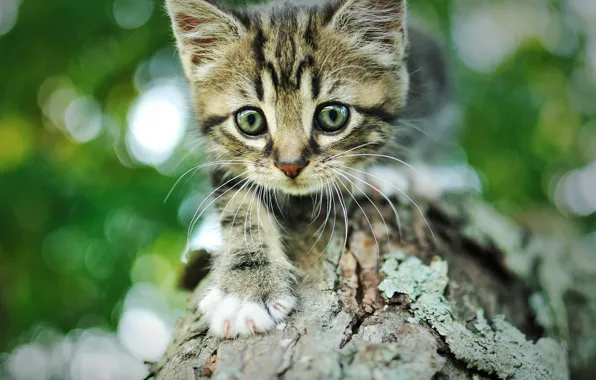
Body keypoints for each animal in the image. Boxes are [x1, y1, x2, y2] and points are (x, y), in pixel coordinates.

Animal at [165, 0, 450, 338]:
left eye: (333, 115)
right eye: (250, 120)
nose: (290, 165)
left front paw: (381, 169)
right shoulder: (227, 161)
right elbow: (240, 210)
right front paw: (246, 291)